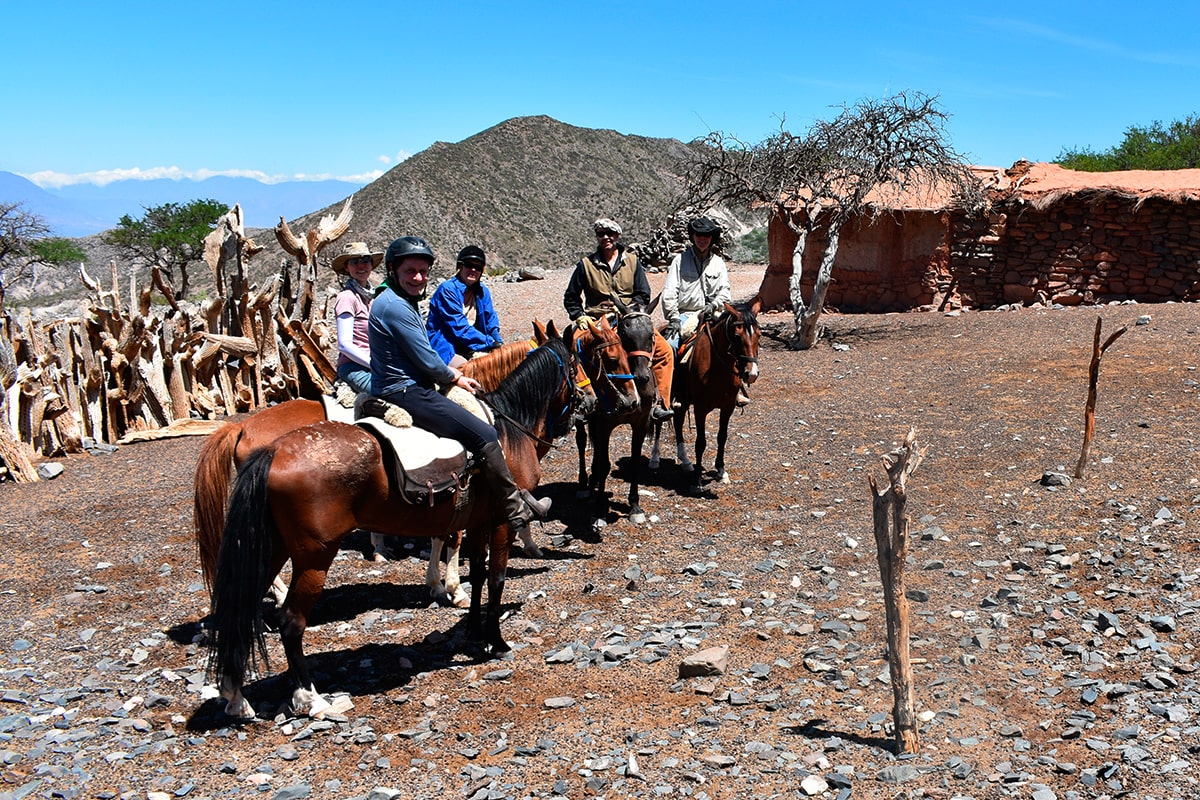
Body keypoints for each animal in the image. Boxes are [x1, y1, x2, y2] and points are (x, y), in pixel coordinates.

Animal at [206, 335, 580, 724]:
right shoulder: (501, 522)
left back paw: (236, 698)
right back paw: (311, 698)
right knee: (291, 622)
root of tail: (270, 449)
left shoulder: (477, 522)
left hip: (273, 548)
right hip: (313, 558)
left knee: (242, 610)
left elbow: (476, 573)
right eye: (576, 364)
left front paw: (471, 626)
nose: (589, 403)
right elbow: (495, 578)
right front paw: (495, 639)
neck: (505, 430)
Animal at [571, 299, 657, 525]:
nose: (642, 376)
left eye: (651, 335)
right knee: (582, 441)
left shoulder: (641, 423)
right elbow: (604, 464)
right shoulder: (604, 425)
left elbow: (634, 462)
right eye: (626, 336)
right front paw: (600, 509)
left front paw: (635, 506)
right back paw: (584, 484)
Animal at [652, 302, 763, 494]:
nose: (752, 374)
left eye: (759, 334)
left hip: (683, 401)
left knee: (678, 424)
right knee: (659, 422)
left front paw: (721, 471)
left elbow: (722, 437)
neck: (717, 368)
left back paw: (686, 462)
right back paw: (655, 459)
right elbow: (701, 442)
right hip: (665, 397)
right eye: (736, 336)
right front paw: (697, 481)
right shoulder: (701, 409)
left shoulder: (727, 407)